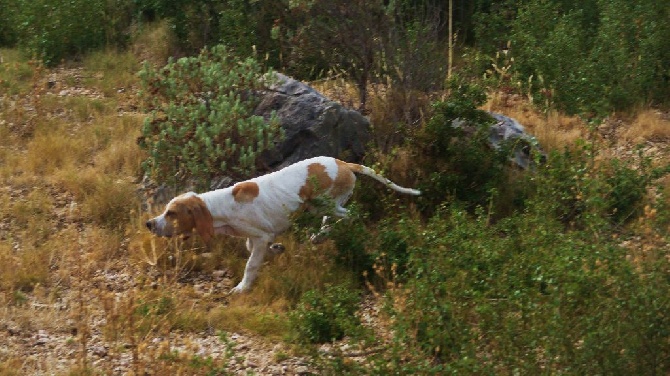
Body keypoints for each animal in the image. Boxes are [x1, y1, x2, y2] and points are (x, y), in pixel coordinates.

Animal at [146, 156, 420, 294]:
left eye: (171, 213)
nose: (149, 223)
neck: (221, 206)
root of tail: (344, 164)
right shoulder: (259, 237)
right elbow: (255, 248)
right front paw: (276, 250)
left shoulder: (259, 236)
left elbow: (251, 264)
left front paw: (242, 288)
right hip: (322, 207)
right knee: (334, 219)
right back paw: (319, 236)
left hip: (325, 204)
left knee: (351, 215)